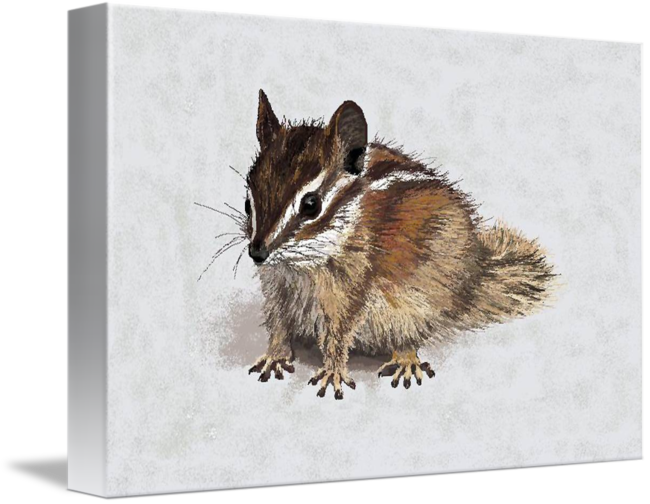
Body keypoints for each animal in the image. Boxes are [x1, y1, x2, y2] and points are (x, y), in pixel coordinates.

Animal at [243, 89, 555, 400]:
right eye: (248, 201)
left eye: (311, 205)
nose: (257, 252)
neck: (300, 265)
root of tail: (476, 274)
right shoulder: (276, 289)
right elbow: (278, 324)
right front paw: (274, 356)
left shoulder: (350, 290)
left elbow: (338, 335)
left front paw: (333, 372)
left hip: (421, 303)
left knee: (408, 336)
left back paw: (406, 360)